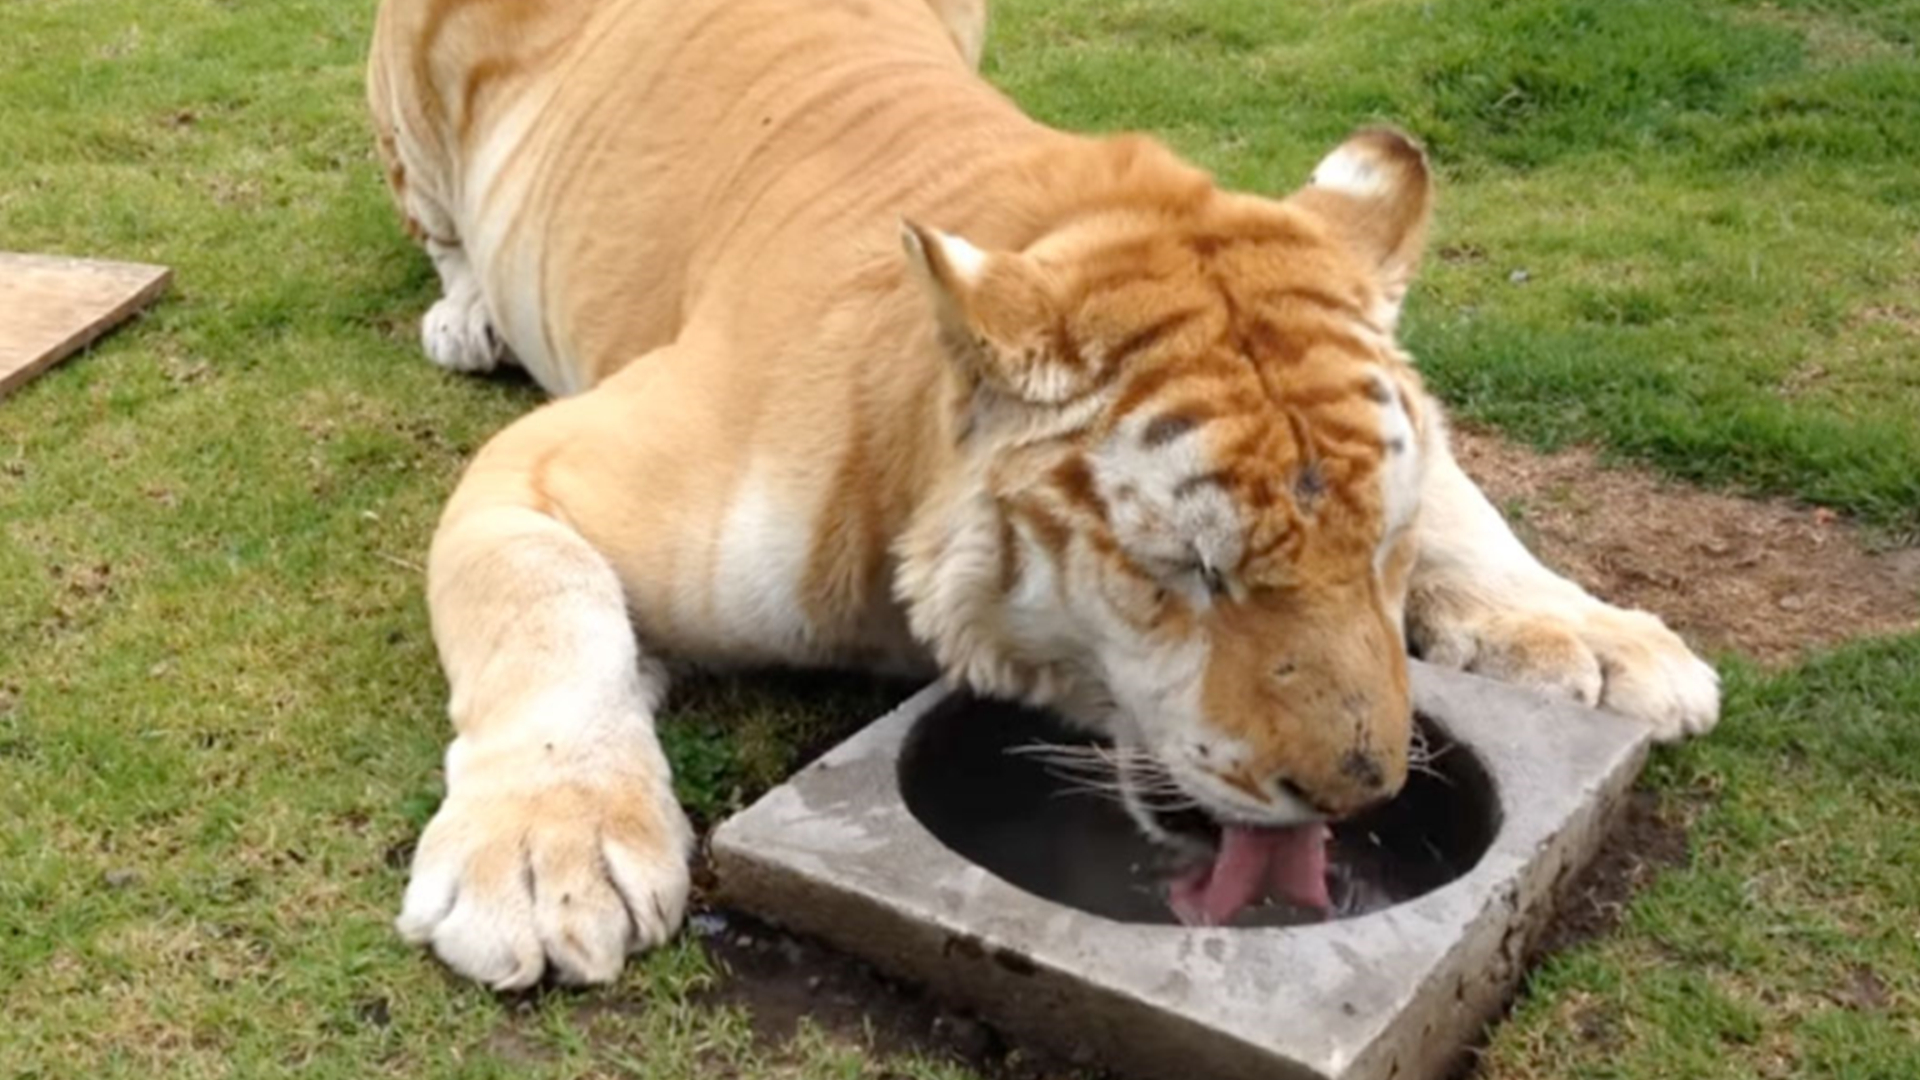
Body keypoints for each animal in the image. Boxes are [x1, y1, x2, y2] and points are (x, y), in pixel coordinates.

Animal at [366, 0, 1720, 983]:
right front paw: (545, 864)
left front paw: (1605, 638)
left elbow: (1466, 507)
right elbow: (544, 617)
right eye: (1192, 569)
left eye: (1379, 550)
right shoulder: (546, 468)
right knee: (441, 230)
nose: (1361, 790)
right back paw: (466, 316)